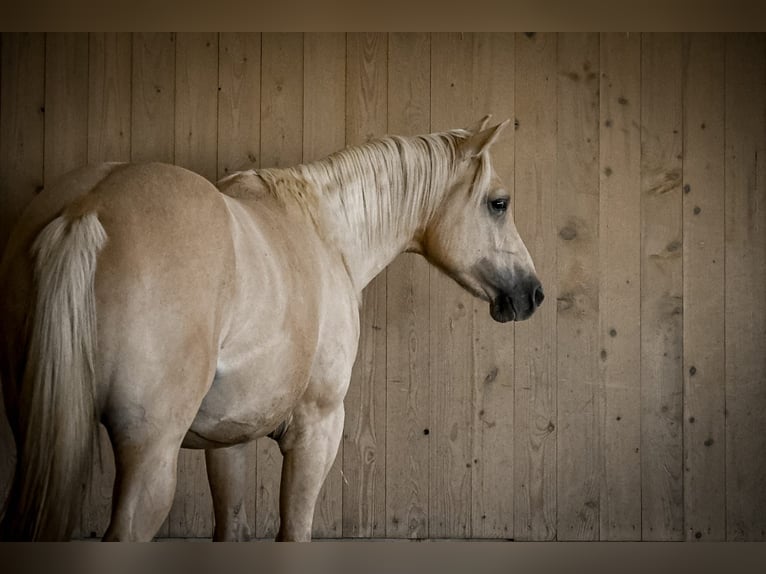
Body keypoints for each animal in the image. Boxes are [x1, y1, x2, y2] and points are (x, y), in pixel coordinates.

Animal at [0, 115, 544, 544]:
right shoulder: (317, 429)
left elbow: (231, 530)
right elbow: (294, 532)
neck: (327, 235)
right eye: (499, 203)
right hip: (149, 454)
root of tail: (85, 208)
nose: (533, 293)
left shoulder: (227, 441)